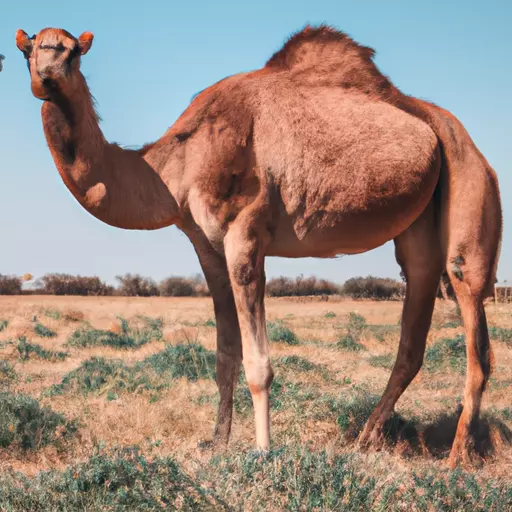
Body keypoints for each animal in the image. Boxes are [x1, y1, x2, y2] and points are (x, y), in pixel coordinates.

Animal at [17, 27, 504, 468]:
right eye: (29, 49)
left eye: (73, 51)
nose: (48, 74)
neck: (177, 162)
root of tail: (448, 128)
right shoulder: (205, 245)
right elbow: (224, 355)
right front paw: (217, 442)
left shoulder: (245, 234)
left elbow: (258, 364)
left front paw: (263, 451)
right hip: (419, 226)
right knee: (413, 333)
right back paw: (366, 440)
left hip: (469, 182)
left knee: (473, 322)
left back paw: (457, 456)